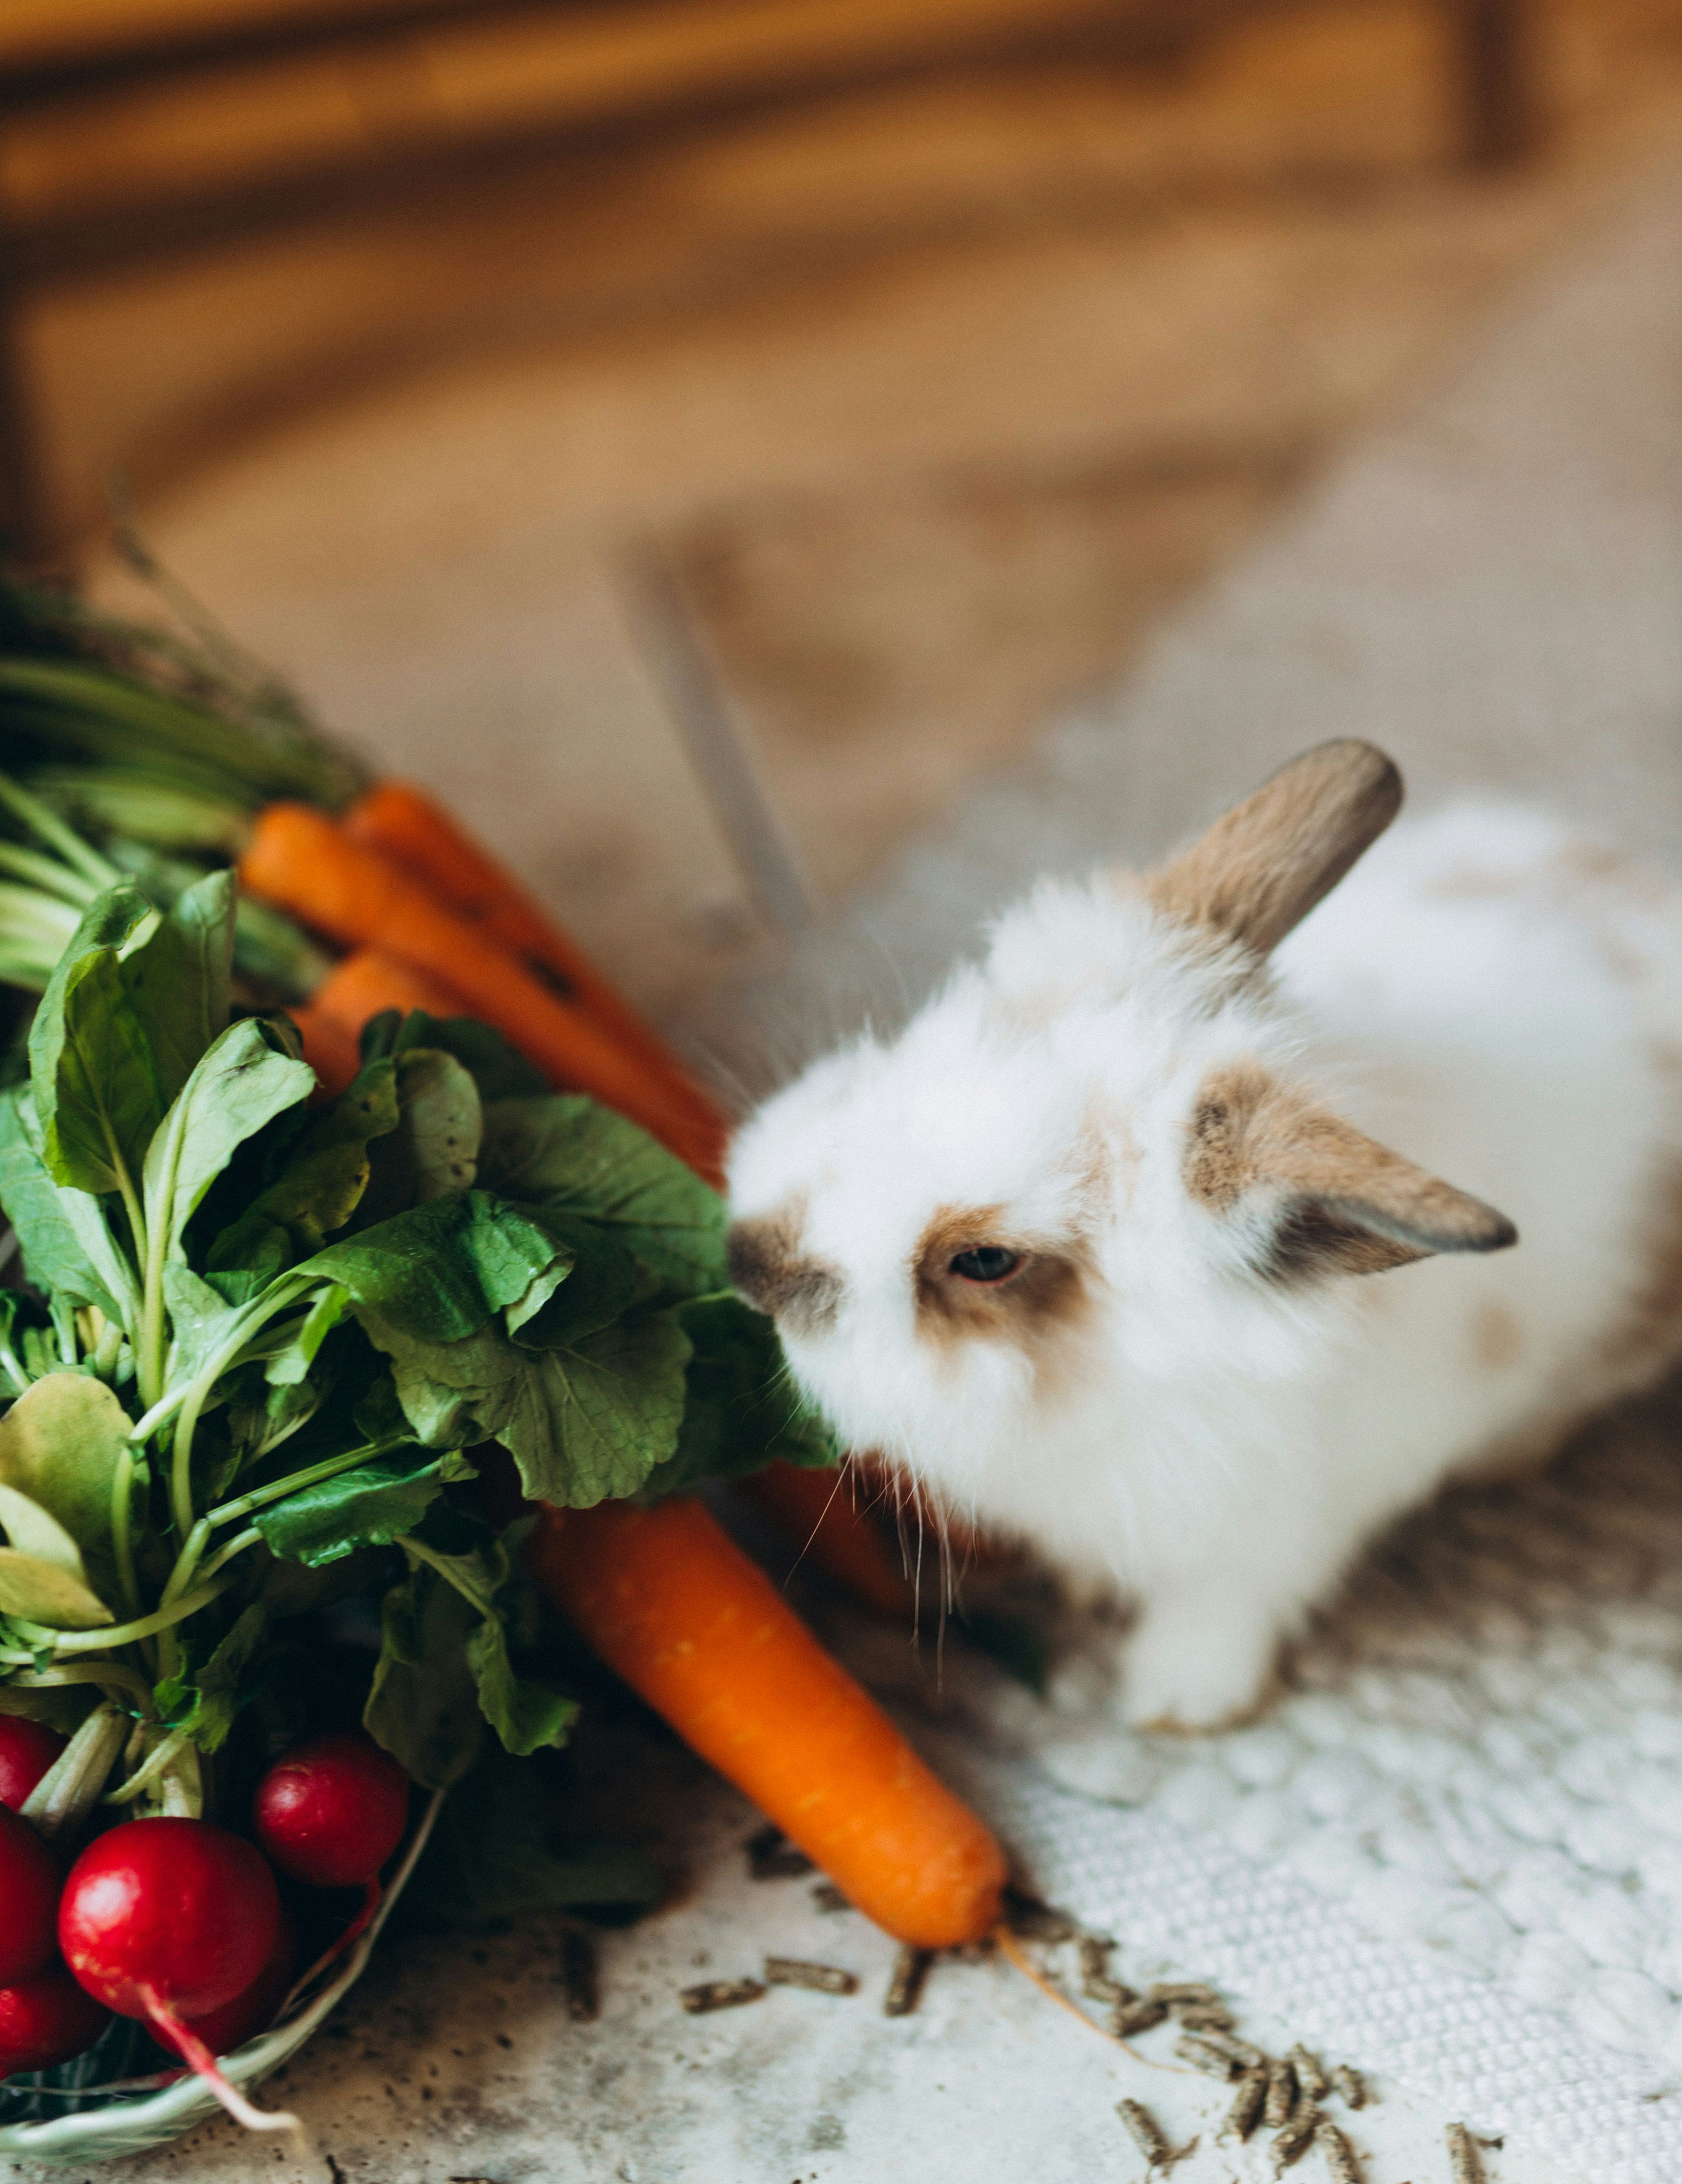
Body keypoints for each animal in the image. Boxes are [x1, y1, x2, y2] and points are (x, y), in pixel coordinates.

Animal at [725, 740, 1682, 1731]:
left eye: (984, 1261)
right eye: (922, 1049)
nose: (749, 1261)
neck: (1109, 1376)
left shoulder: (1273, 1530)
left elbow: (1223, 1604)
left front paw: (1178, 1702)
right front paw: (1085, 1591)